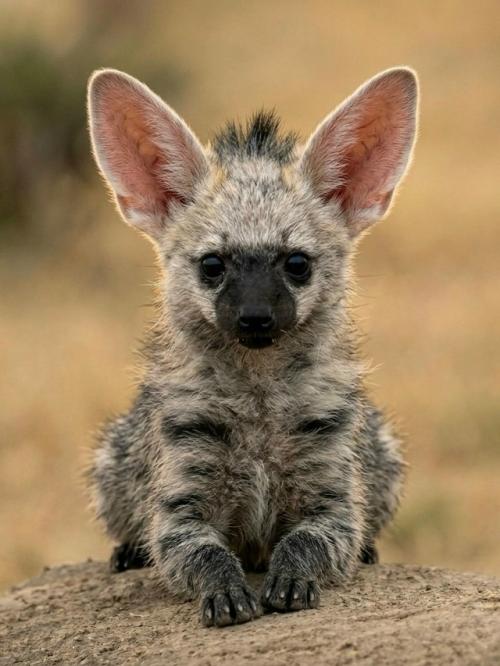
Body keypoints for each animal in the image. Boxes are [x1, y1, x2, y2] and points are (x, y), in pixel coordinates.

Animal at [87, 66, 418, 627]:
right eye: (213, 265)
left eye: (296, 263)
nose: (255, 315)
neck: (259, 402)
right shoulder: (178, 496)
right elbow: (199, 551)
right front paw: (226, 595)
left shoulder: (335, 494)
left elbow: (312, 540)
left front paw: (290, 583)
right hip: (111, 461)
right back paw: (126, 552)